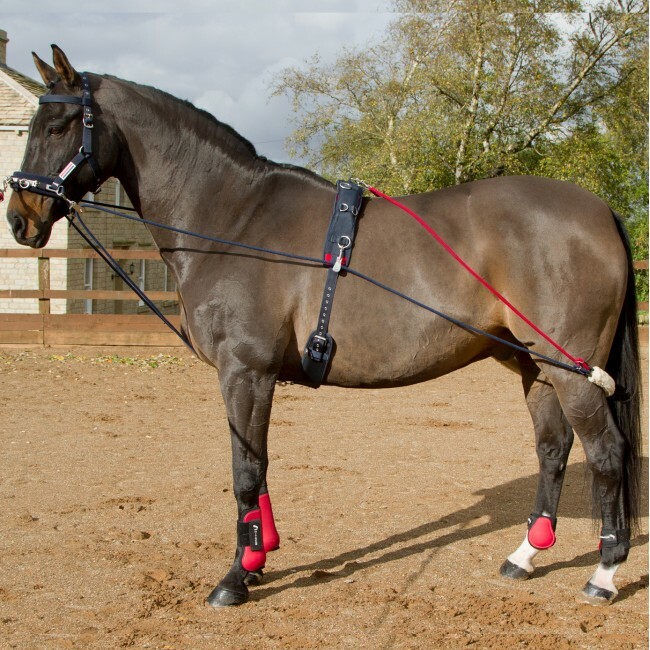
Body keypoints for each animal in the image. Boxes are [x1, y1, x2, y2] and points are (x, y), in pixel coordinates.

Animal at [5, 45, 641, 607]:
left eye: (59, 124)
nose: (20, 218)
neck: (235, 218)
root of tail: (599, 210)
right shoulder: (253, 377)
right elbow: (257, 467)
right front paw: (259, 557)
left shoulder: (245, 371)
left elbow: (244, 472)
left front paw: (235, 578)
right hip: (536, 366)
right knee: (554, 450)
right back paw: (525, 554)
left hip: (573, 372)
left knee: (607, 453)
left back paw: (605, 573)